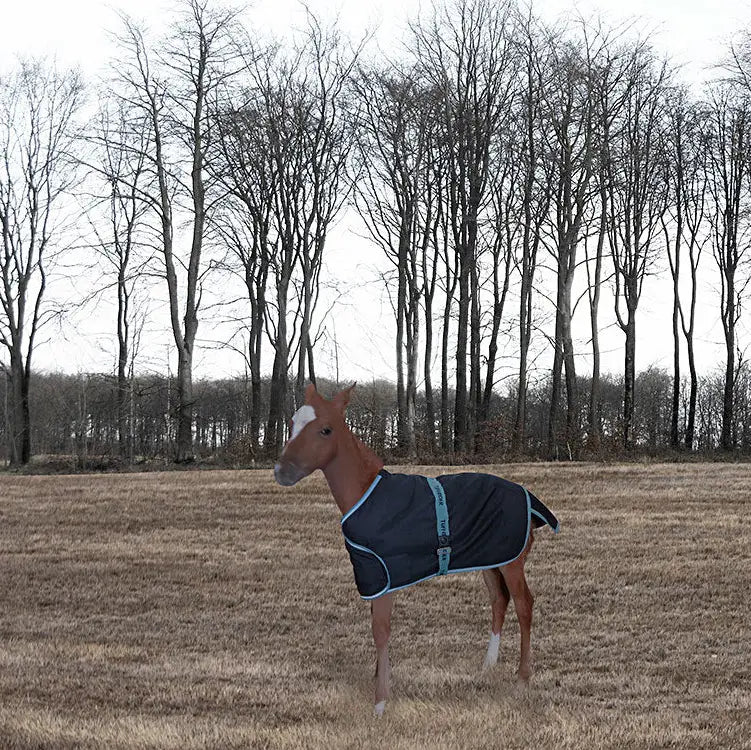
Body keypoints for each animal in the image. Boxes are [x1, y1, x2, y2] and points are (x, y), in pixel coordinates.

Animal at [274, 383, 559, 716]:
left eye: (325, 429)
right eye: (292, 423)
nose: (282, 471)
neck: (365, 493)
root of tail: (529, 498)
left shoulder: (383, 575)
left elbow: (381, 630)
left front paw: (380, 702)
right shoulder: (374, 575)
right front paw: (379, 681)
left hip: (512, 562)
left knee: (524, 604)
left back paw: (523, 678)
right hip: (492, 558)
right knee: (499, 601)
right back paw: (488, 666)